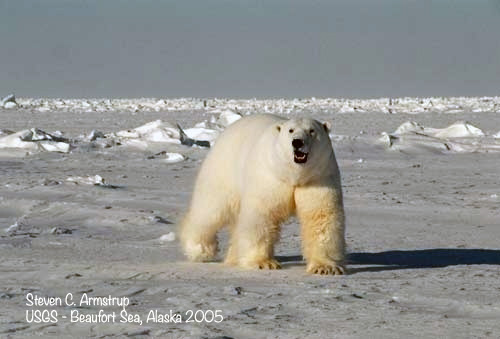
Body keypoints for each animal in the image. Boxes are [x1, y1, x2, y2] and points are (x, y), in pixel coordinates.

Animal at [178, 114, 346, 276]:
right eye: (290, 130)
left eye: (312, 131)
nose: (297, 142)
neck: (292, 175)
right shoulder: (269, 177)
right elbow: (262, 216)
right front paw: (263, 263)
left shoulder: (319, 177)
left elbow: (321, 216)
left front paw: (325, 267)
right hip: (223, 168)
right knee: (210, 209)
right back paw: (200, 249)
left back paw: (234, 257)